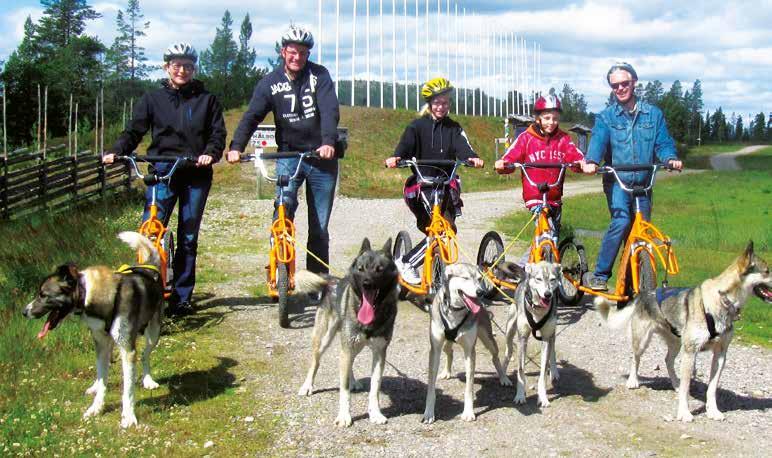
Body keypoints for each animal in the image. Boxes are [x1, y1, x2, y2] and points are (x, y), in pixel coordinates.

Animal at [22, 233, 163, 430]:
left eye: (43, 295)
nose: (24, 312)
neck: (88, 294)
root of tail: (148, 268)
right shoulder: (101, 344)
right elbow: (103, 379)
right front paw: (96, 407)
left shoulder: (127, 349)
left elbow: (127, 389)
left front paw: (128, 416)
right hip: (108, 342)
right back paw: (95, 386)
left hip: (153, 334)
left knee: (145, 355)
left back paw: (148, 379)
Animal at [296, 238, 398, 428]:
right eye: (361, 268)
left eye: (379, 269)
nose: (367, 284)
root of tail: (331, 281)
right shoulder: (347, 347)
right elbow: (343, 391)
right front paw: (344, 416)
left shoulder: (380, 353)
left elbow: (375, 388)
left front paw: (375, 413)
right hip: (325, 339)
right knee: (315, 361)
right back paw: (307, 386)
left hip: (353, 346)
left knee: (349, 362)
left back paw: (353, 380)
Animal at [422, 262, 512, 424]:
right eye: (465, 278)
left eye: (479, 278)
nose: (481, 292)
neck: (455, 311)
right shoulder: (435, 349)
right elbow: (431, 387)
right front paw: (429, 413)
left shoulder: (470, 351)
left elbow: (469, 388)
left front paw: (468, 412)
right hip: (445, 344)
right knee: (450, 352)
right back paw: (447, 372)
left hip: (489, 340)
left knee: (495, 358)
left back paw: (503, 378)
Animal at [500, 260, 560, 406]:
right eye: (538, 279)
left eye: (553, 279)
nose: (547, 294)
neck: (537, 310)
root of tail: (523, 276)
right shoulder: (522, 338)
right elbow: (521, 371)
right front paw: (520, 396)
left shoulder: (546, 338)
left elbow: (543, 372)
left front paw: (543, 397)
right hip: (510, 331)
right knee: (508, 353)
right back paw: (503, 377)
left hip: (552, 333)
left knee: (553, 350)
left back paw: (554, 372)